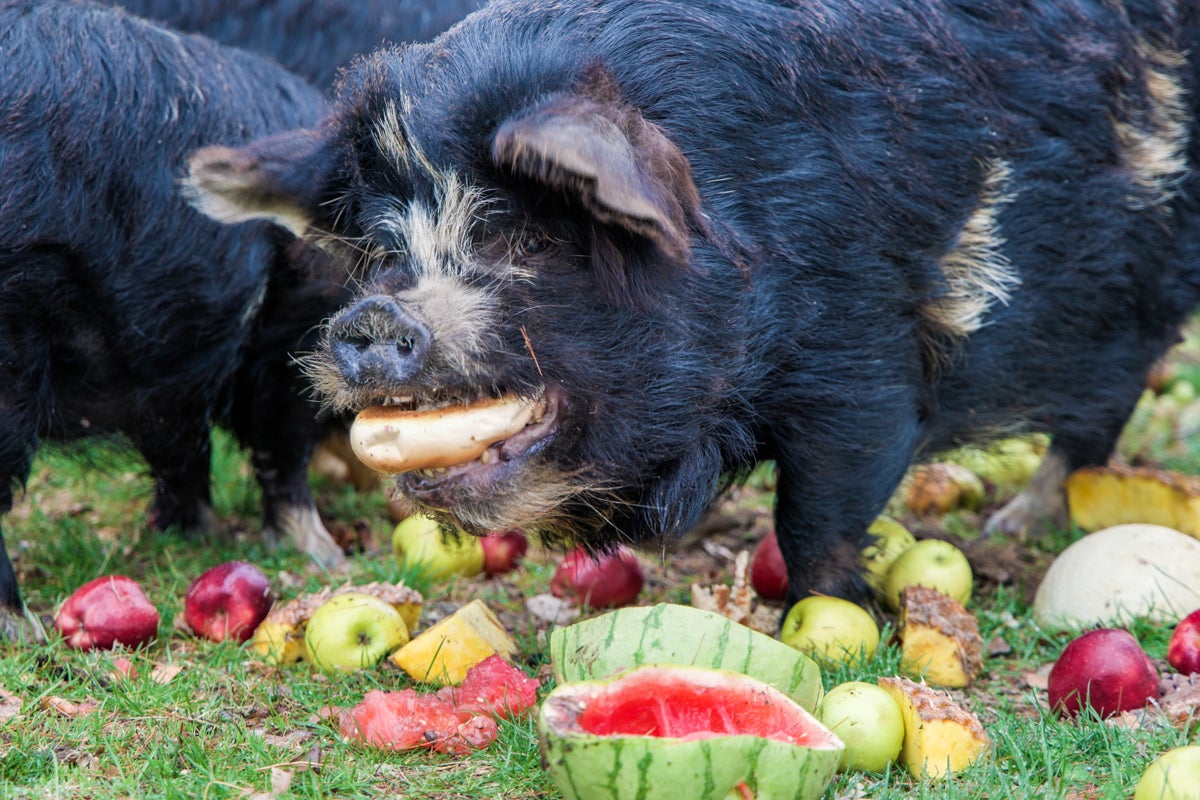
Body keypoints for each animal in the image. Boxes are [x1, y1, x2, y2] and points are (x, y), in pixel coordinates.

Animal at [0, 0, 346, 639]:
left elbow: (183, 444)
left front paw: (193, 535)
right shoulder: (292, 332)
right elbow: (280, 442)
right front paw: (323, 555)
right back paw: (21, 627)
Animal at [189, 0, 1200, 607]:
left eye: (526, 238)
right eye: (386, 251)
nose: (374, 320)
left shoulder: (862, 359)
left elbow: (820, 517)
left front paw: (835, 617)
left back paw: (1010, 526)